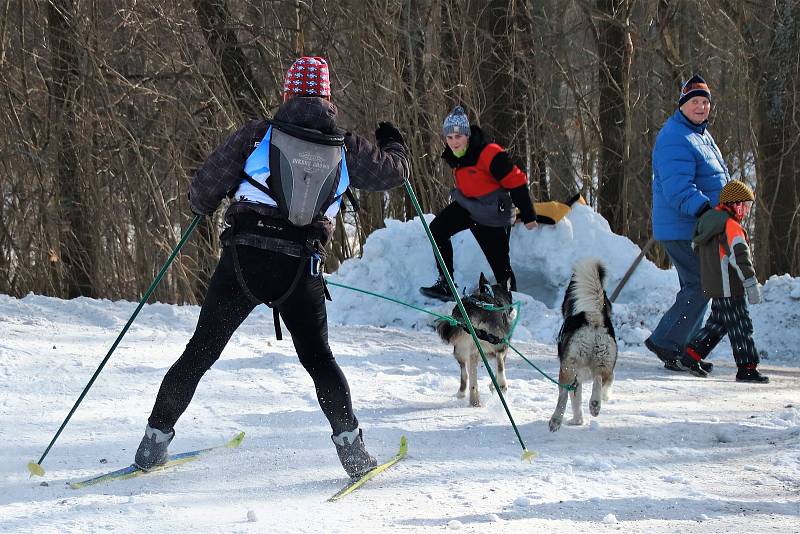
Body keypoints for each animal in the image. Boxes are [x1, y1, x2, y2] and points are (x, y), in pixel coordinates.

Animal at [434, 274, 516, 408]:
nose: (513, 310)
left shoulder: (474, 354)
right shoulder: (504, 349)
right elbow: (498, 368)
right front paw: (494, 386)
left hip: (462, 350)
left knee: (466, 375)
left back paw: (468, 397)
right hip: (498, 344)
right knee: (499, 366)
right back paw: (502, 385)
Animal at [552, 258, 620, 434]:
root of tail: (593, 316)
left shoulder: (576, 378)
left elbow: (575, 401)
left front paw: (576, 421)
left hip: (568, 367)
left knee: (563, 394)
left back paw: (555, 421)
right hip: (603, 360)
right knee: (599, 378)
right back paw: (595, 404)